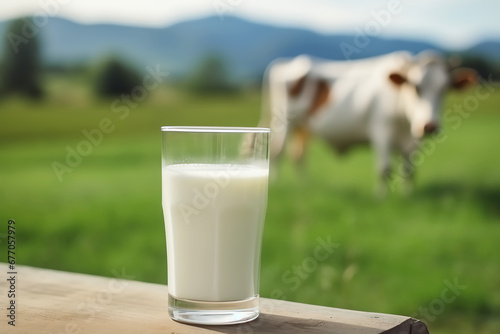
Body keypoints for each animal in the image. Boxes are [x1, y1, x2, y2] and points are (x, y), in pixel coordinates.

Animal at [258, 51, 476, 194]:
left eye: (445, 89)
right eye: (416, 87)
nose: (430, 125)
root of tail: (286, 63)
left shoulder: (413, 141)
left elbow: (409, 170)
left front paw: (408, 195)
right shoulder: (381, 132)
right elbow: (384, 169)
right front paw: (381, 198)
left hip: (304, 126)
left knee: (298, 154)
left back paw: (305, 185)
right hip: (285, 122)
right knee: (278, 151)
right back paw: (276, 184)